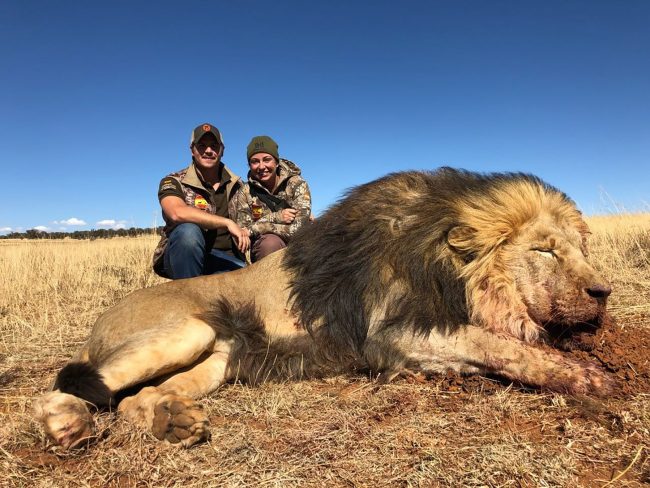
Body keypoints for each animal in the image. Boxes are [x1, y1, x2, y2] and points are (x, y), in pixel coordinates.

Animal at [33, 167, 613, 449]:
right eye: (544, 250)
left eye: (581, 248)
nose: (603, 292)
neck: (443, 264)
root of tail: (98, 323)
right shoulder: (390, 336)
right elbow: (495, 343)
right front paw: (588, 378)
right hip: (185, 331)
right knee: (61, 389)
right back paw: (67, 427)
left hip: (216, 360)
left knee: (134, 401)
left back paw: (173, 422)